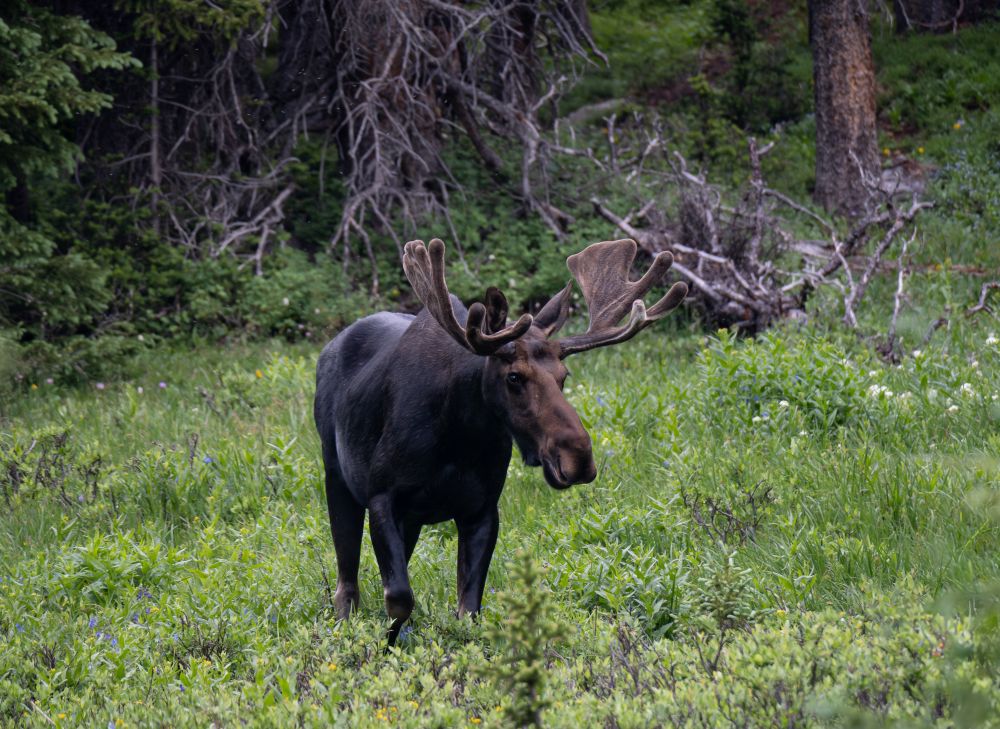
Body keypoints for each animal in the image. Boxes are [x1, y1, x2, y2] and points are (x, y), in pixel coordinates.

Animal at [313, 238, 687, 644]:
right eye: (514, 376)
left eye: (564, 375)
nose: (578, 458)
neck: (458, 437)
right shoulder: (382, 496)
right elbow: (398, 597)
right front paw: (386, 647)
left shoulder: (481, 509)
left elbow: (468, 609)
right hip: (337, 477)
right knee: (346, 583)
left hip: (409, 518)